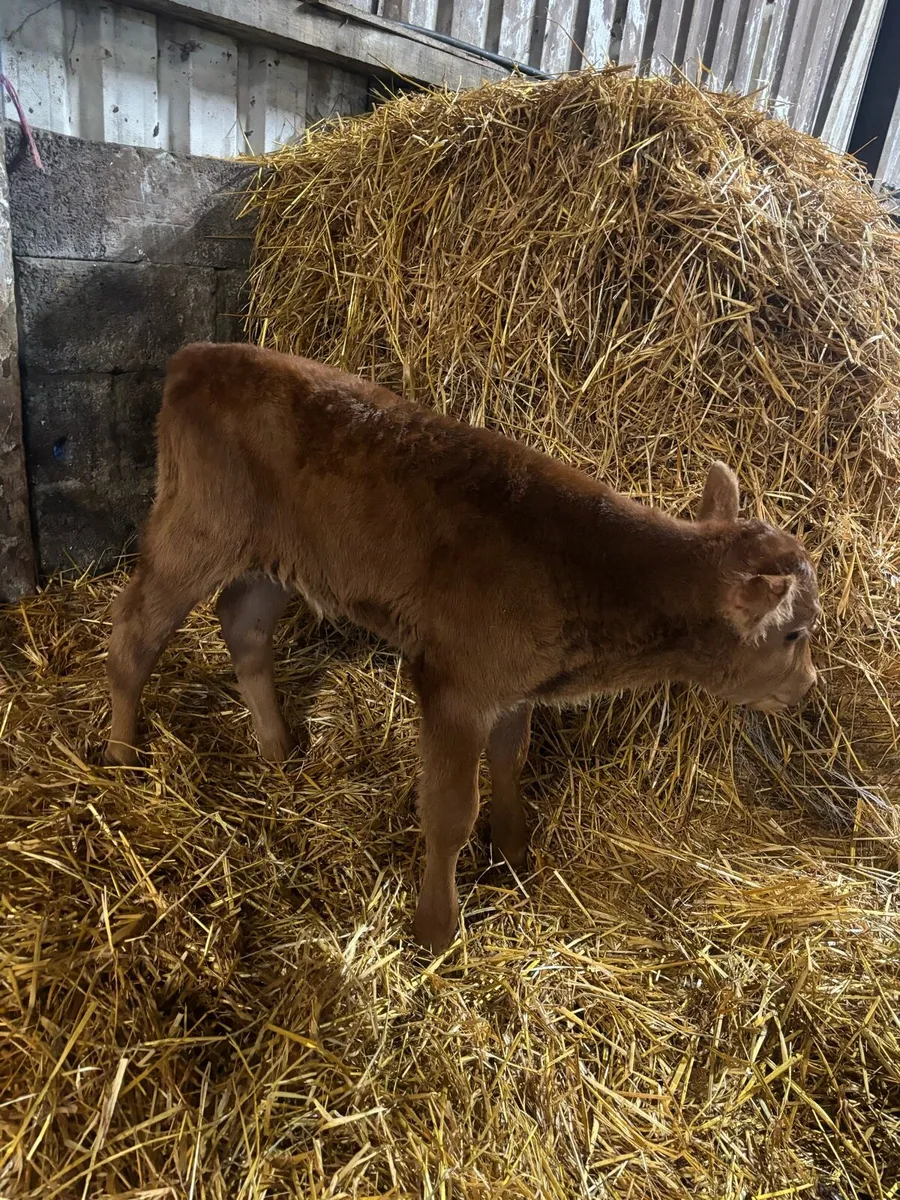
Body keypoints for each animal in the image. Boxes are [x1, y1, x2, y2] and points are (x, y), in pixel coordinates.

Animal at [105, 343, 820, 952]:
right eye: (795, 632)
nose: (808, 685)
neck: (592, 572)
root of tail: (198, 355)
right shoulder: (452, 683)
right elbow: (450, 811)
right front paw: (436, 929)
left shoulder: (514, 683)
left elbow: (510, 758)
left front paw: (514, 849)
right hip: (198, 528)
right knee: (134, 635)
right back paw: (119, 758)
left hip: (274, 557)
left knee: (243, 626)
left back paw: (277, 748)